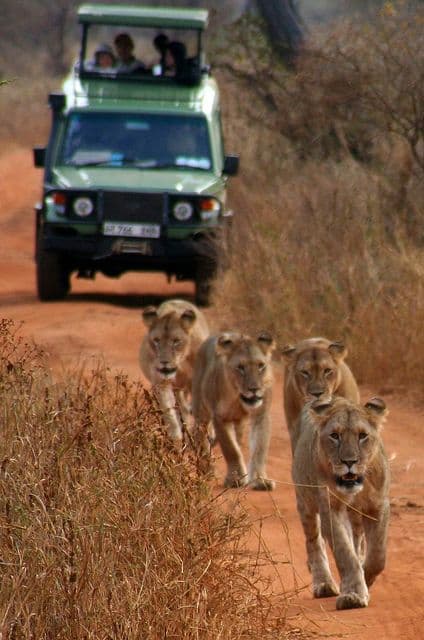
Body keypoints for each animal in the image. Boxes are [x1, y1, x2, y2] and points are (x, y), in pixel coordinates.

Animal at [139, 299, 209, 441]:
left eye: (176, 341)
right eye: (156, 340)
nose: (164, 362)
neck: (181, 363)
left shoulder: (198, 383)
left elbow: (202, 418)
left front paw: (201, 441)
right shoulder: (161, 382)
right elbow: (169, 412)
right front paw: (176, 439)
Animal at [192, 331, 276, 490]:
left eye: (261, 366)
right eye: (240, 367)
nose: (254, 389)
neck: (238, 397)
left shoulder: (261, 415)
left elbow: (259, 449)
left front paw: (260, 480)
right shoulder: (220, 417)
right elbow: (231, 449)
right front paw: (235, 478)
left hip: (238, 420)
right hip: (201, 408)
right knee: (199, 433)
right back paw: (206, 468)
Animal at [292, 395, 390, 610]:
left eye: (362, 435)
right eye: (335, 436)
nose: (349, 462)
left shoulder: (378, 505)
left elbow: (377, 555)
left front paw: (366, 578)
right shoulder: (330, 508)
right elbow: (345, 553)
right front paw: (354, 594)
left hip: (354, 515)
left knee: (358, 539)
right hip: (305, 502)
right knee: (314, 542)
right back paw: (324, 584)